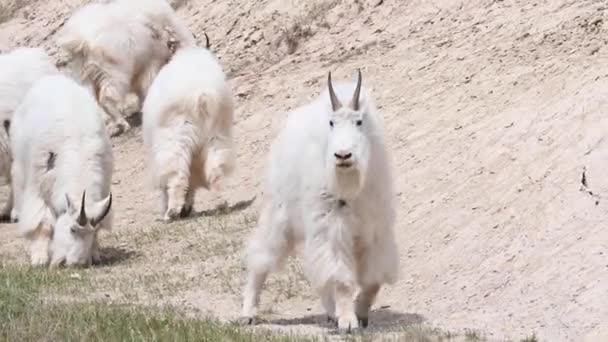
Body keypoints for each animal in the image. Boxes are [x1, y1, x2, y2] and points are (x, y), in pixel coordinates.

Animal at [10, 75, 114, 268]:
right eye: (72, 229)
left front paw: (94, 254)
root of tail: (51, 78)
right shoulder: (38, 188)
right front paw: (39, 259)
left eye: (92, 231)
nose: (77, 263)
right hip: (20, 167)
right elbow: (42, 224)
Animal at [56, 0, 196, 137]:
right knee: (107, 99)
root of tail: (84, 44)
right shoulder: (150, 65)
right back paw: (122, 124)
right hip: (113, 75)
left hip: (88, 80)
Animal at [142, 46, 235, 222]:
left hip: (176, 140)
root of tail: (202, 94)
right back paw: (223, 203)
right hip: (215, 136)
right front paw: (187, 208)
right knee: (215, 169)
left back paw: (170, 213)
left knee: (177, 176)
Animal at [242, 70, 400, 332]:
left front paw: (360, 313)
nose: (343, 155)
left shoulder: (375, 230)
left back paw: (331, 313)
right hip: (280, 214)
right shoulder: (332, 224)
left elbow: (372, 280)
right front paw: (348, 321)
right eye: (331, 123)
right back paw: (248, 313)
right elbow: (341, 279)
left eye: (359, 122)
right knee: (260, 258)